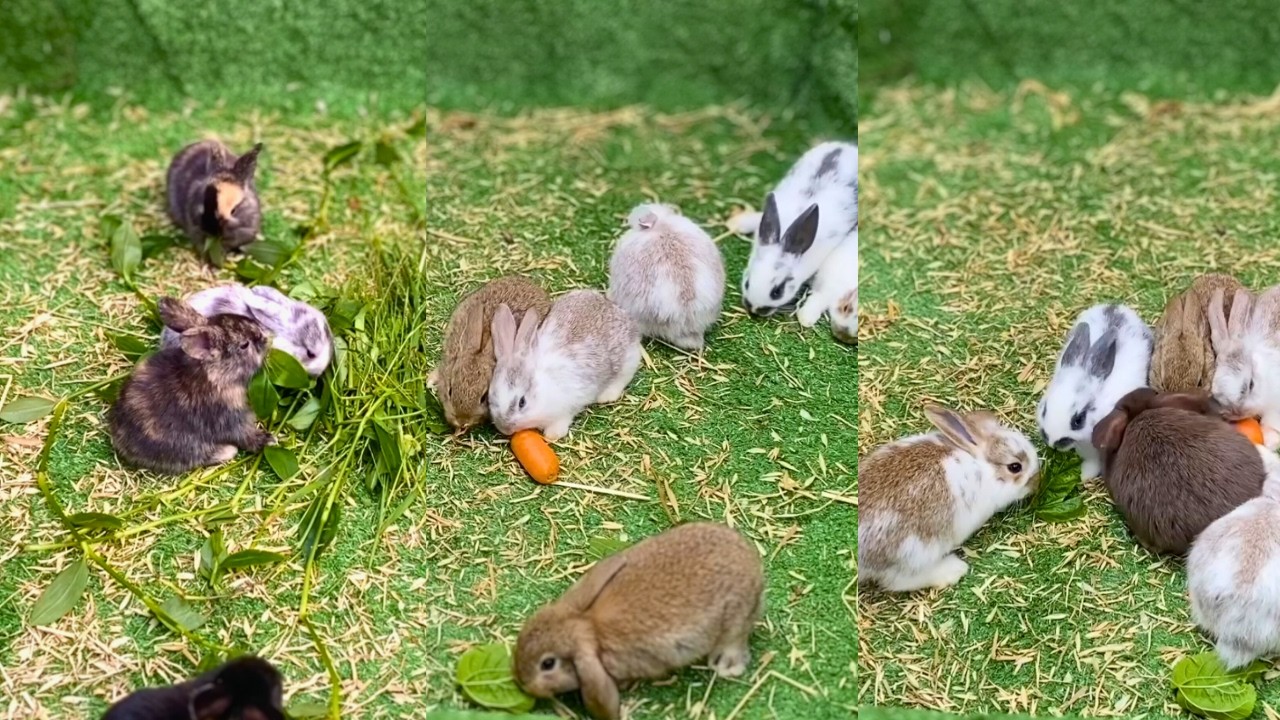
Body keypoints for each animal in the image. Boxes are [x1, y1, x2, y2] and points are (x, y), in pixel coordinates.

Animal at [110, 297, 275, 475]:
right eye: (244, 345)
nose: (266, 337)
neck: (218, 375)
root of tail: (119, 439)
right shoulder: (229, 418)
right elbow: (246, 436)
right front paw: (269, 440)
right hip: (185, 445)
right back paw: (227, 450)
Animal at [488, 290, 642, 442]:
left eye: (522, 402)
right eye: (490, 397)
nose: (505, 428)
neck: (543, 387)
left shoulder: (568, 406)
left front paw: (552, 435)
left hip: (628, 361)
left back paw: (606, 396)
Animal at [857, 404, 1040, 593]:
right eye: (1015, 467)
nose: (1037, 482)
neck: (982, 465)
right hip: (914, 554)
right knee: (898, 581)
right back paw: (954, 569)